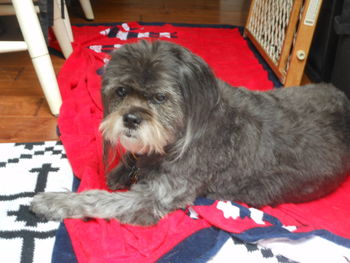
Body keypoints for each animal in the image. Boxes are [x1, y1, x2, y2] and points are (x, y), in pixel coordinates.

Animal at [30, 40, 350, 226]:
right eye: (121, 91)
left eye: (160, 97)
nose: (130, 118)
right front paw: (121, 170)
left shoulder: (156, 195)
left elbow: (98, 200)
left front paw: (52, 202)